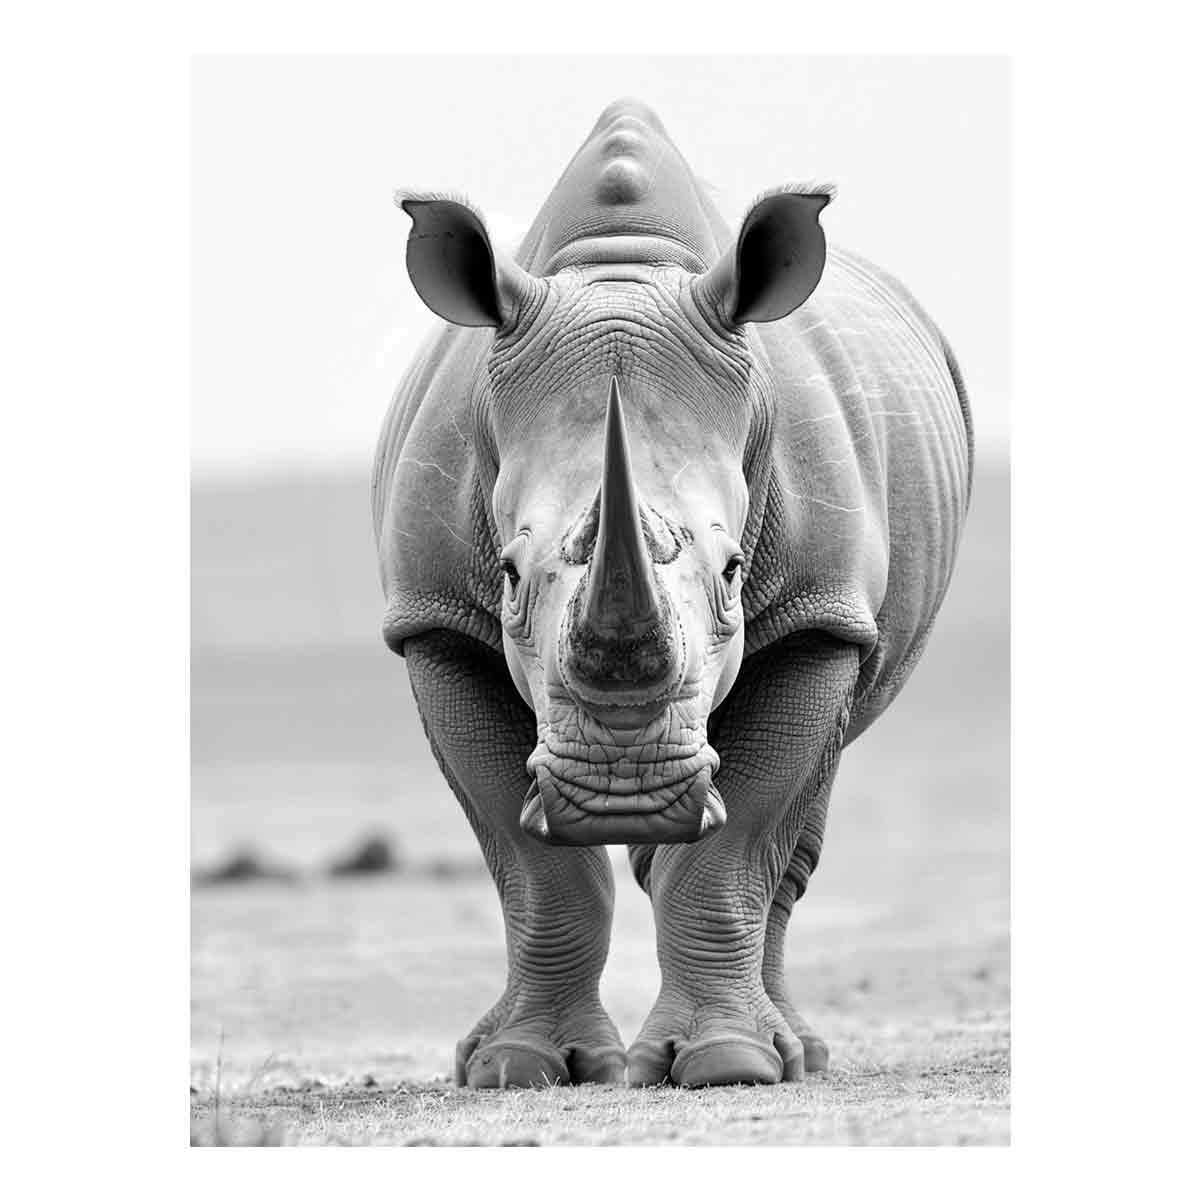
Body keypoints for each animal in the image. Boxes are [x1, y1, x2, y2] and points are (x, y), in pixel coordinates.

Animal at [372, 99, 972, 1089]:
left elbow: (737, 843)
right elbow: (531, 862)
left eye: (733, 572)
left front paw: (729, 1064)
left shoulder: (818, 612)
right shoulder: (435, 621)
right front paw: (517, 1068)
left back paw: (797, 1053)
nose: (625, 792)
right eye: (508, 576)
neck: (622, 270)